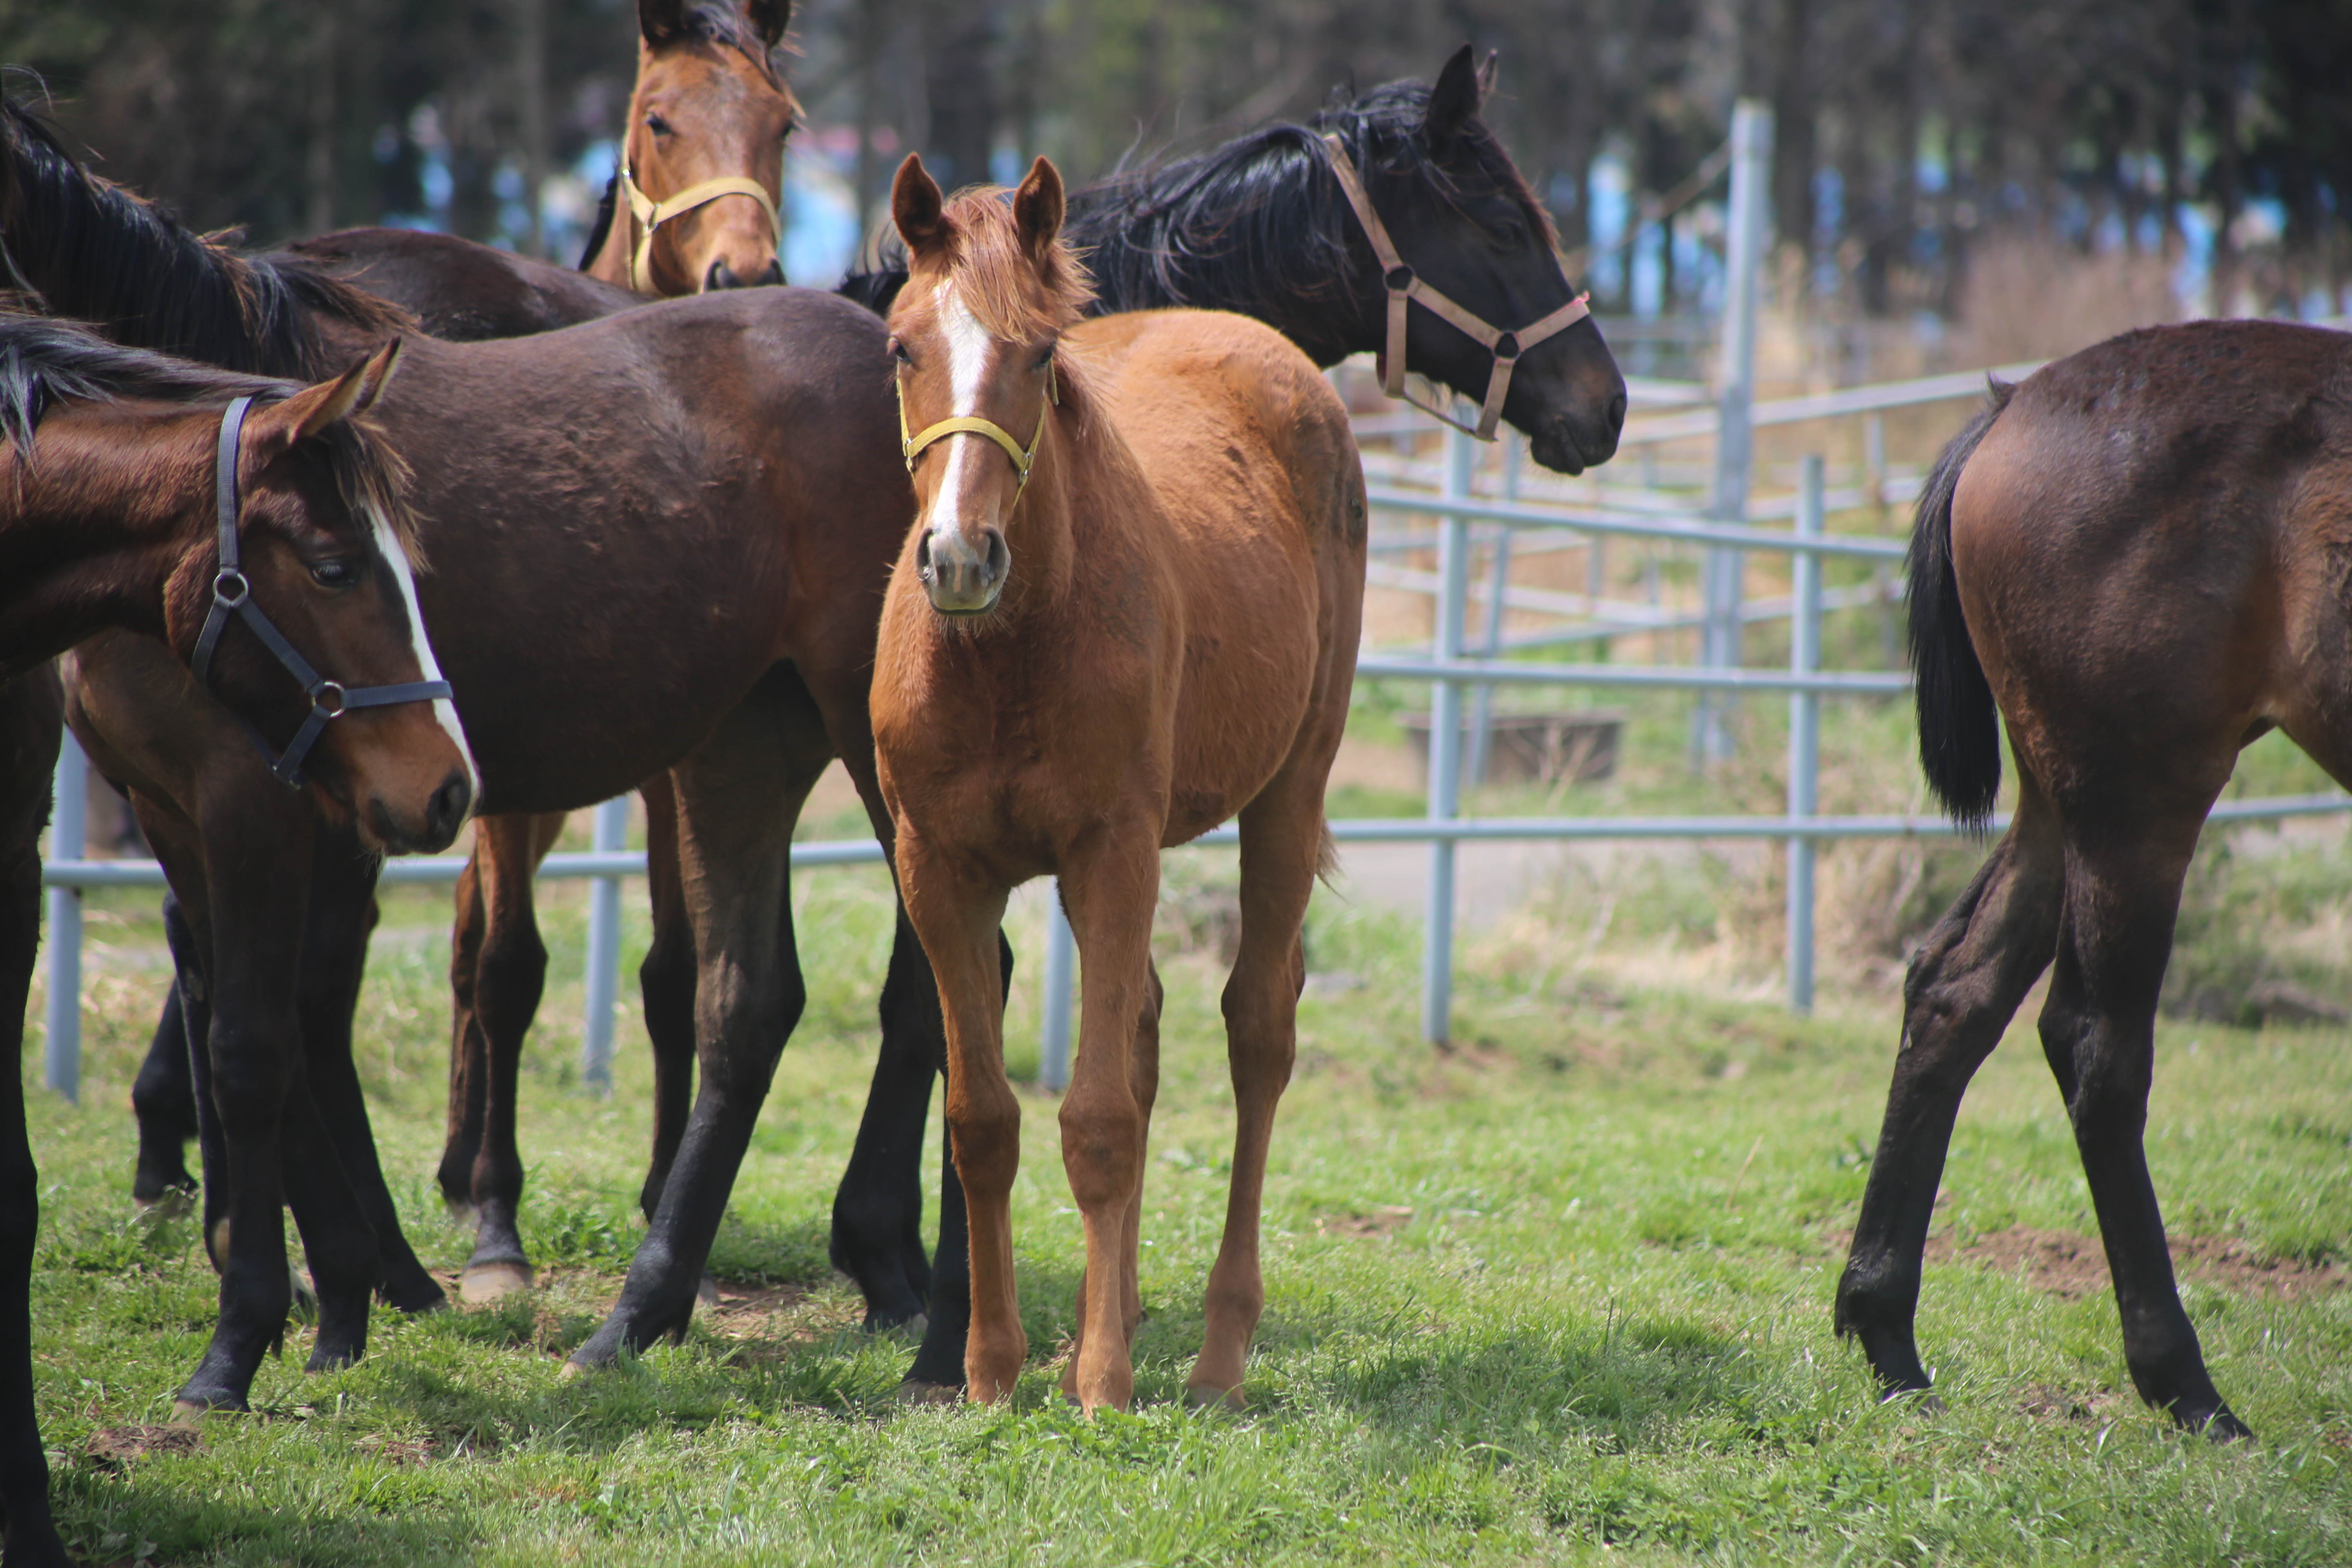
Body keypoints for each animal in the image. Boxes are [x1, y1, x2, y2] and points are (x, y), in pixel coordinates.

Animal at [875, 160, 1373, 1410]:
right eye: (902, 347)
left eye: (1041, 354)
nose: (959, 557)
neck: (1004, 653)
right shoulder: (938, 869)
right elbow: (982, 1120)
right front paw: (991, 1371)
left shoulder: (1112, 847)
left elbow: (1095, 1118)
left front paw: (1101, 1382)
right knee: (1143, 1030)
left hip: (1286, 793)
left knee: (1257, 1032)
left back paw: (1213, 1353)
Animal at [1834, 322, 2352, 1448]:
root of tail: (2014, 403)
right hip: (2133, 801)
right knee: (2091, 1049)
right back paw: (2183, 1383)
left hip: (2055, 799)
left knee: (1955, 990)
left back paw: (1883, 1334)